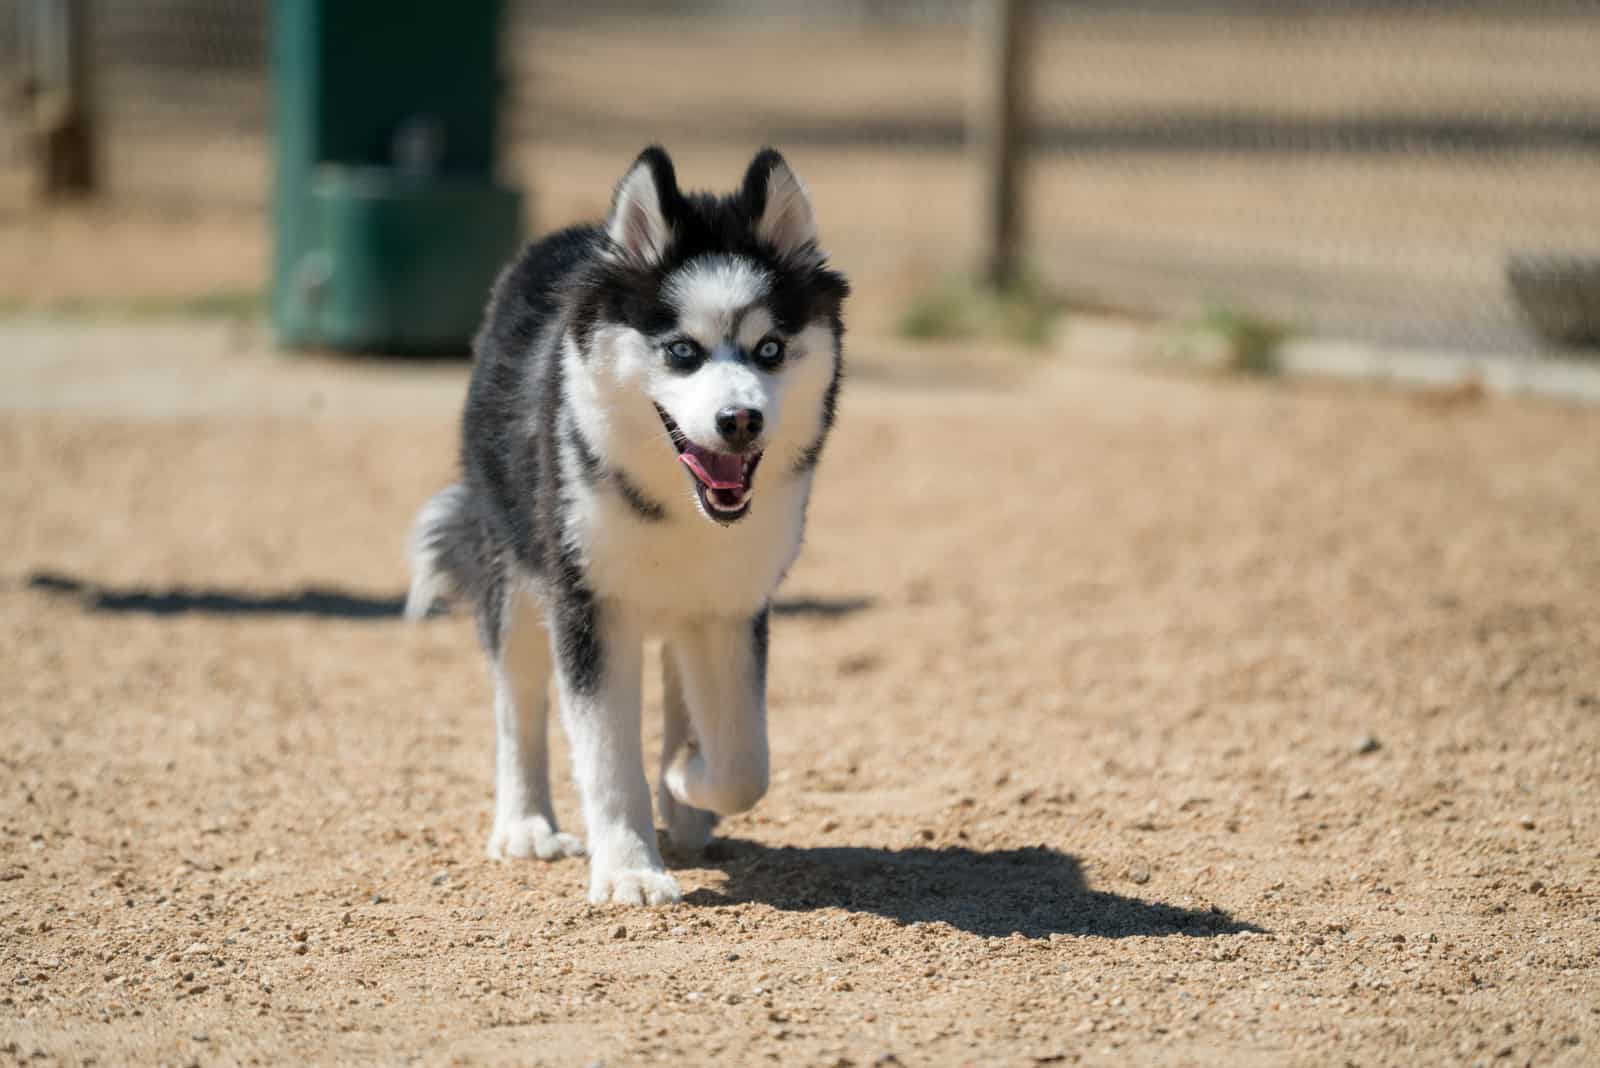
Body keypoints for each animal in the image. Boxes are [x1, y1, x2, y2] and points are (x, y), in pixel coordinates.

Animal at [406, 146, 851, 908]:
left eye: (769, 349)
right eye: (682, 352)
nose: (740, 420)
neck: (679, 509)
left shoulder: (732, 608)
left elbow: (744, 762)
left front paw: (685, 778)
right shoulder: (589, 606)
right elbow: (608, 757)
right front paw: (630, 869)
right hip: (517, 575)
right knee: (517, 705)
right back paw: (525, 825)